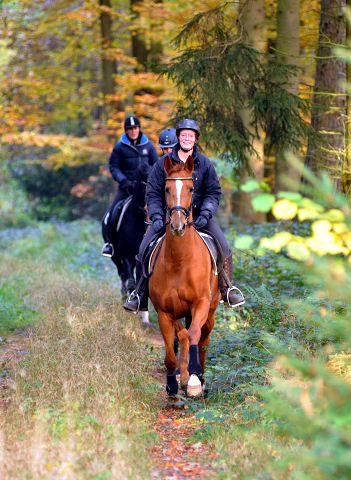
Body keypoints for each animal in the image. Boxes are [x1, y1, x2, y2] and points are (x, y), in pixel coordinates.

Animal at [102, 164, 151, 322]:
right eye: (144, 187)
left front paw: (145, 317)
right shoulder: (126, 256)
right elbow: (131, 282)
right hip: (115, 257)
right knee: (122, 275)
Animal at [150, 156, 221, 396]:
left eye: (191, 188)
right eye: (166, 188)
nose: (178, 225)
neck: (179, 261)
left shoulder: (201, 303)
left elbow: (193, 335)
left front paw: (194, 381)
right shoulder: (164, 312)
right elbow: (174, 349)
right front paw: (174, 384)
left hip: (211, 310)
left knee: (203, 339)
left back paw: (200, 377)